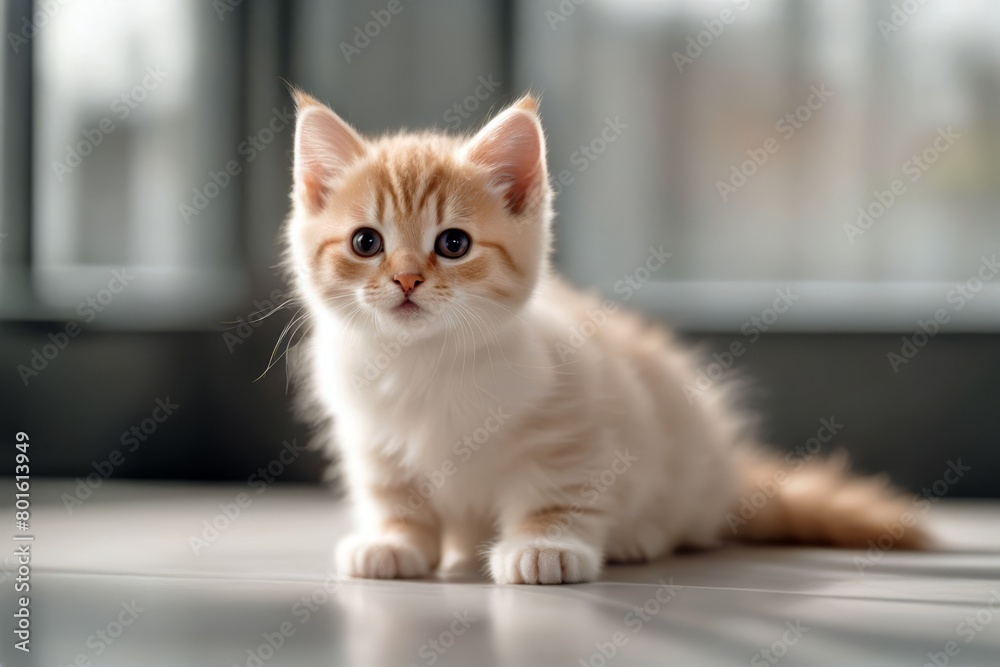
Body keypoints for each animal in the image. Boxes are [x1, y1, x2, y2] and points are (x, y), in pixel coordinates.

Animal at [284, 90, 928, 584]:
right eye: (366, 242)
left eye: (454, 244)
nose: (407, 279)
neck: (424, 360)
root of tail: (728, 480)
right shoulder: (371, 437)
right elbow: (394, 496)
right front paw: (393, 541)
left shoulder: (575, 422)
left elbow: (561, 492)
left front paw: (545, 547)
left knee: (684, 523)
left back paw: (638, 537)